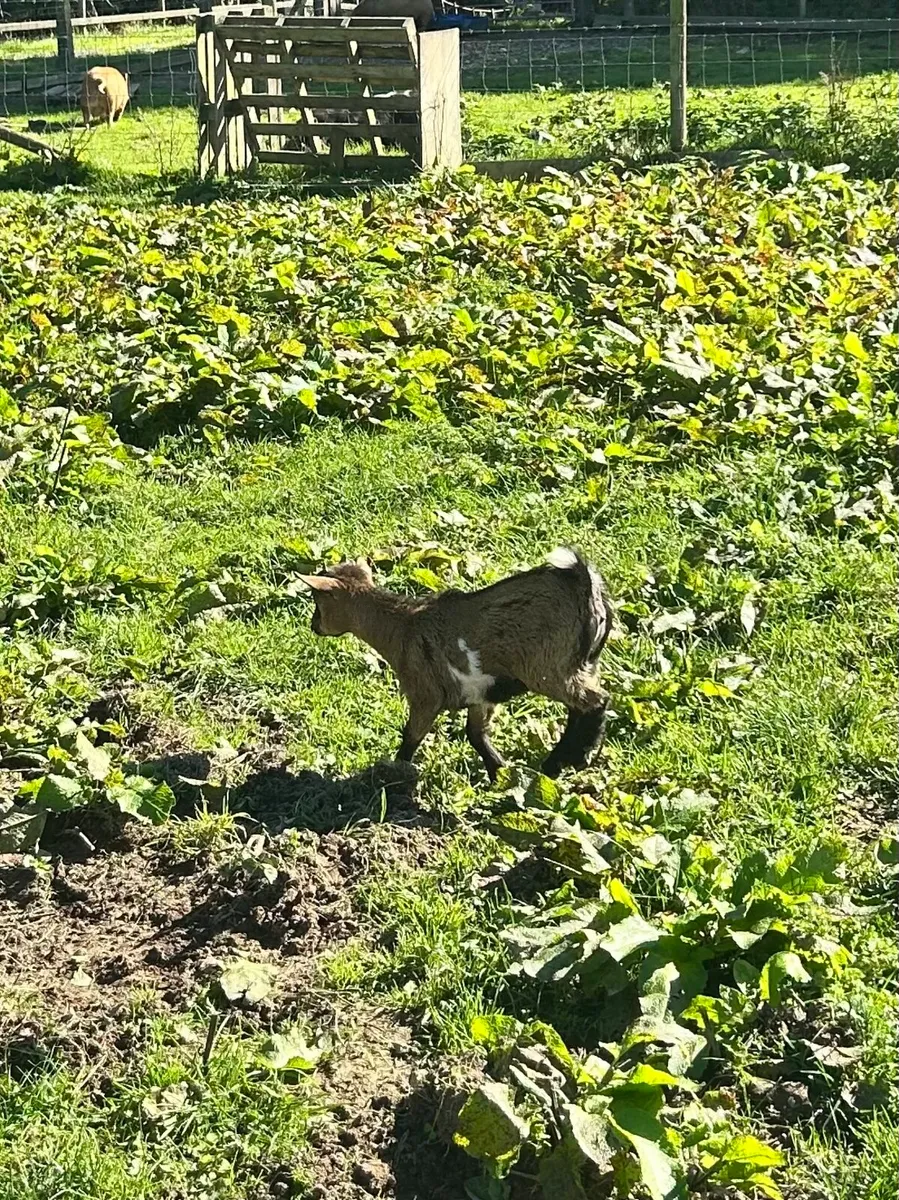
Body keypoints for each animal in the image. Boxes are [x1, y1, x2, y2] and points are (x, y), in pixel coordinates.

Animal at [298, 549, 613, 781]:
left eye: (318, 601)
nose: (314, 626)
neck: (403, 626)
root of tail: (584, 583)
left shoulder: (425, 692)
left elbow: (411, 736)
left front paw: (395, 773)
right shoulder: (480, 693)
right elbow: (475, 734)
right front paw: (499, 775)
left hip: (548, 666)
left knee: (595, 701)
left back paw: (567, 760)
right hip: (582, 664)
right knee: (581, 707)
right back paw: (562, 762)